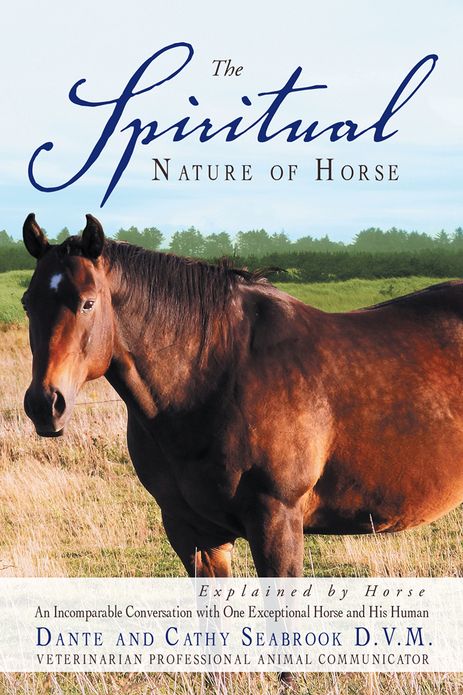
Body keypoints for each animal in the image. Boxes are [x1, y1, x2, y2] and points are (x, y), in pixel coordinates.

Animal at [22, 213, 463, 580]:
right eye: (28, 304)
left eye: (88, 302)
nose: (45, 404)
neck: (212, 376)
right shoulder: (195, 533)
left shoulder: (277, 523)